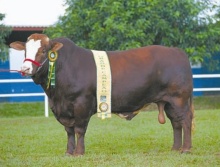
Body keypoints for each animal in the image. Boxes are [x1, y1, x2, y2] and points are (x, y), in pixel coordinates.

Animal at [9, 33, 193, 156]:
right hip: (168, 102)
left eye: (43, 50)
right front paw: (68, 152)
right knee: (175, 123)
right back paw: (175, 148)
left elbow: (79, 129)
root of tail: (178, 51)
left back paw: (185, 149)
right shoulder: (64, 109)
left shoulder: (81, 103)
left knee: (185, 121)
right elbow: (69, 131)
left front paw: (79, 153)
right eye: (25, 51)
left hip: (179, 99)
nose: (25, 68)